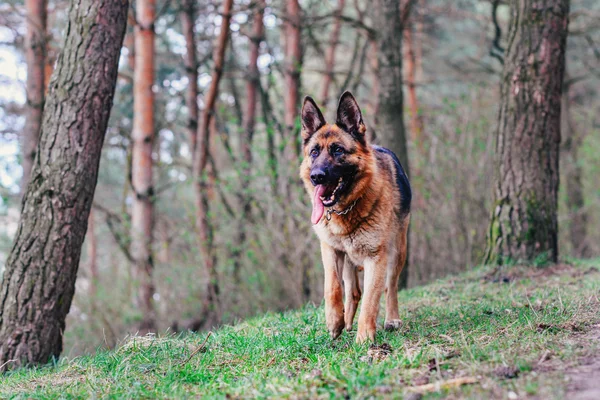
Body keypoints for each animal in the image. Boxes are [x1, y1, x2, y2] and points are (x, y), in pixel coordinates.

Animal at [300, 91, 412, 344]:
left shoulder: (376, 258)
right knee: (352, 291)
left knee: (390, 286)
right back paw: (346, 322)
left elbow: (372, 299)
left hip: (397, 251)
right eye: (314, 152)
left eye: (338, 150)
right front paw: (334, 321)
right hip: (349, 260)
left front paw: (364, 339)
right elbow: (332, 287)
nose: (316, 177)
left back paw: (391, 319)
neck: (346, 209)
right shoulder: (330, 249)